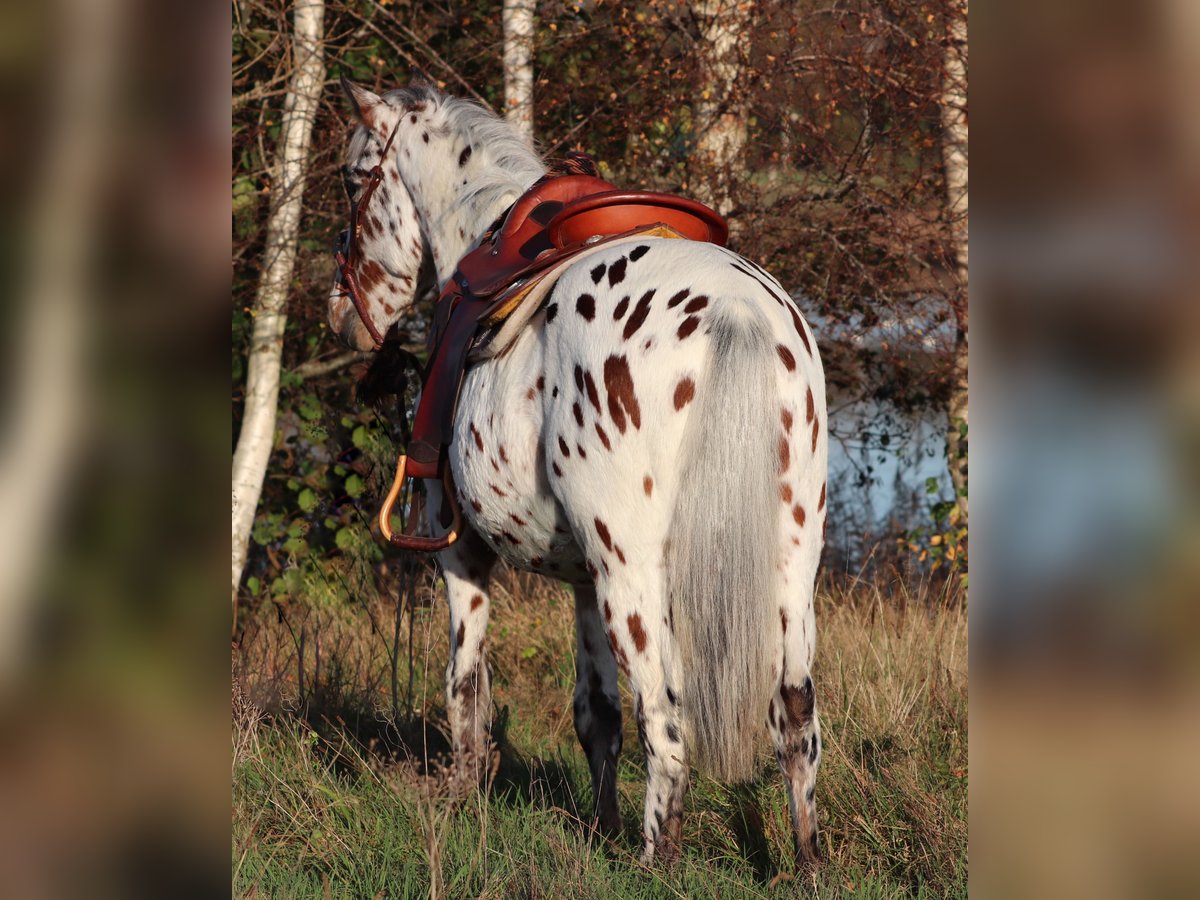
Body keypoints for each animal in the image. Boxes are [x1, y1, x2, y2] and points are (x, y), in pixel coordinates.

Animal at [328, 82, 835, 873]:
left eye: (355, 180)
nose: (339, 313)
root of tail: (737, 309)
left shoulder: (459, 552)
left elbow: (465, 686)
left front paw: (460, 802)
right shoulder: (581, 581)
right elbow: (596, 716)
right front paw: (598, 828)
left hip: (634, 574)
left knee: (667, 722)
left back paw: (655, 862)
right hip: (790, 571)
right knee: (796, 721)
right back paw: (805, 862)